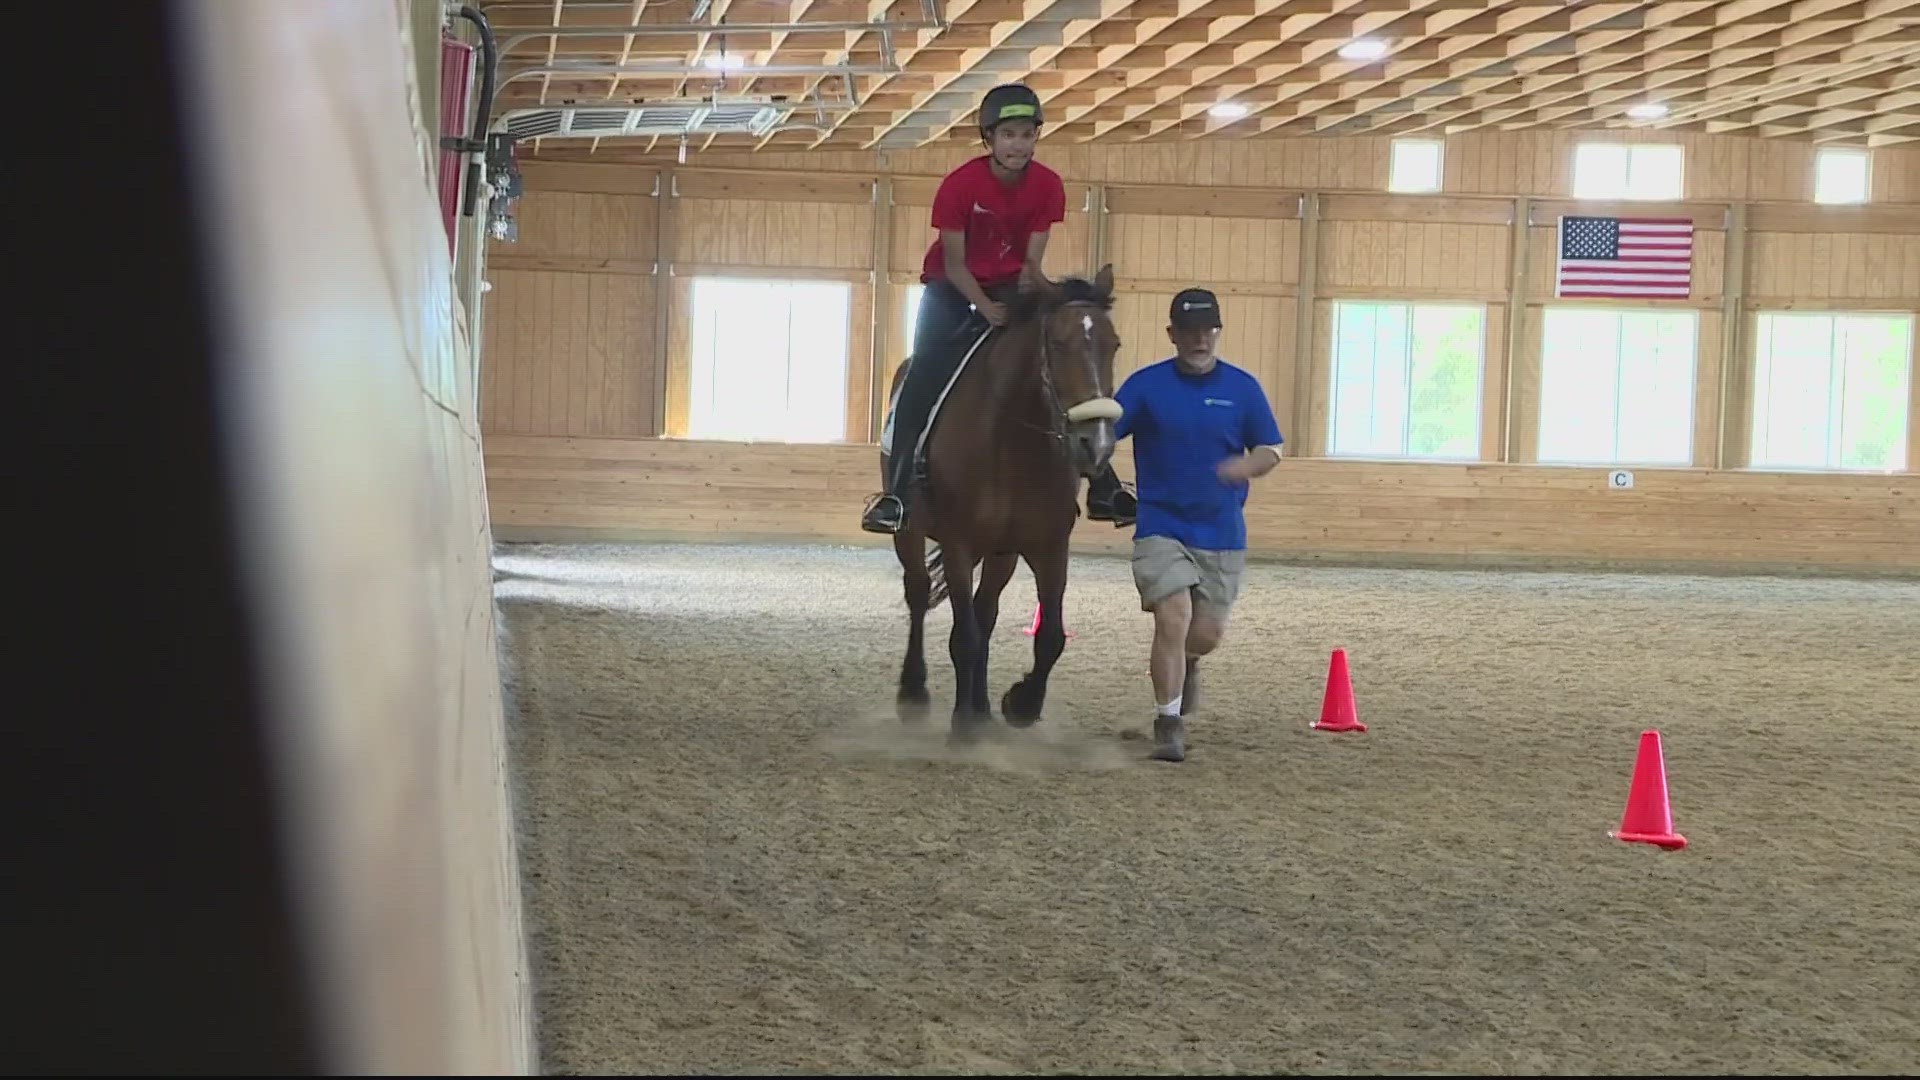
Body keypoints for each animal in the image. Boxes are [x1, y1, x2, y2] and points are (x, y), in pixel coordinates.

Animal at [875, 265, 1121, 745]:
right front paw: (962, 725)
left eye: (1113, 344)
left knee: (985, 613)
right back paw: (914, 694)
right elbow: (963, 637)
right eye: (1058, 343)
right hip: (911, 533)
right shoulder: (958, 543)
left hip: (1002, 552)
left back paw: (983, 708)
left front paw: (1020, 705)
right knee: (919, 594)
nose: (1096, 444)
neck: (1012, 436)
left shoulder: (1048, 546)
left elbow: (1049, 637)